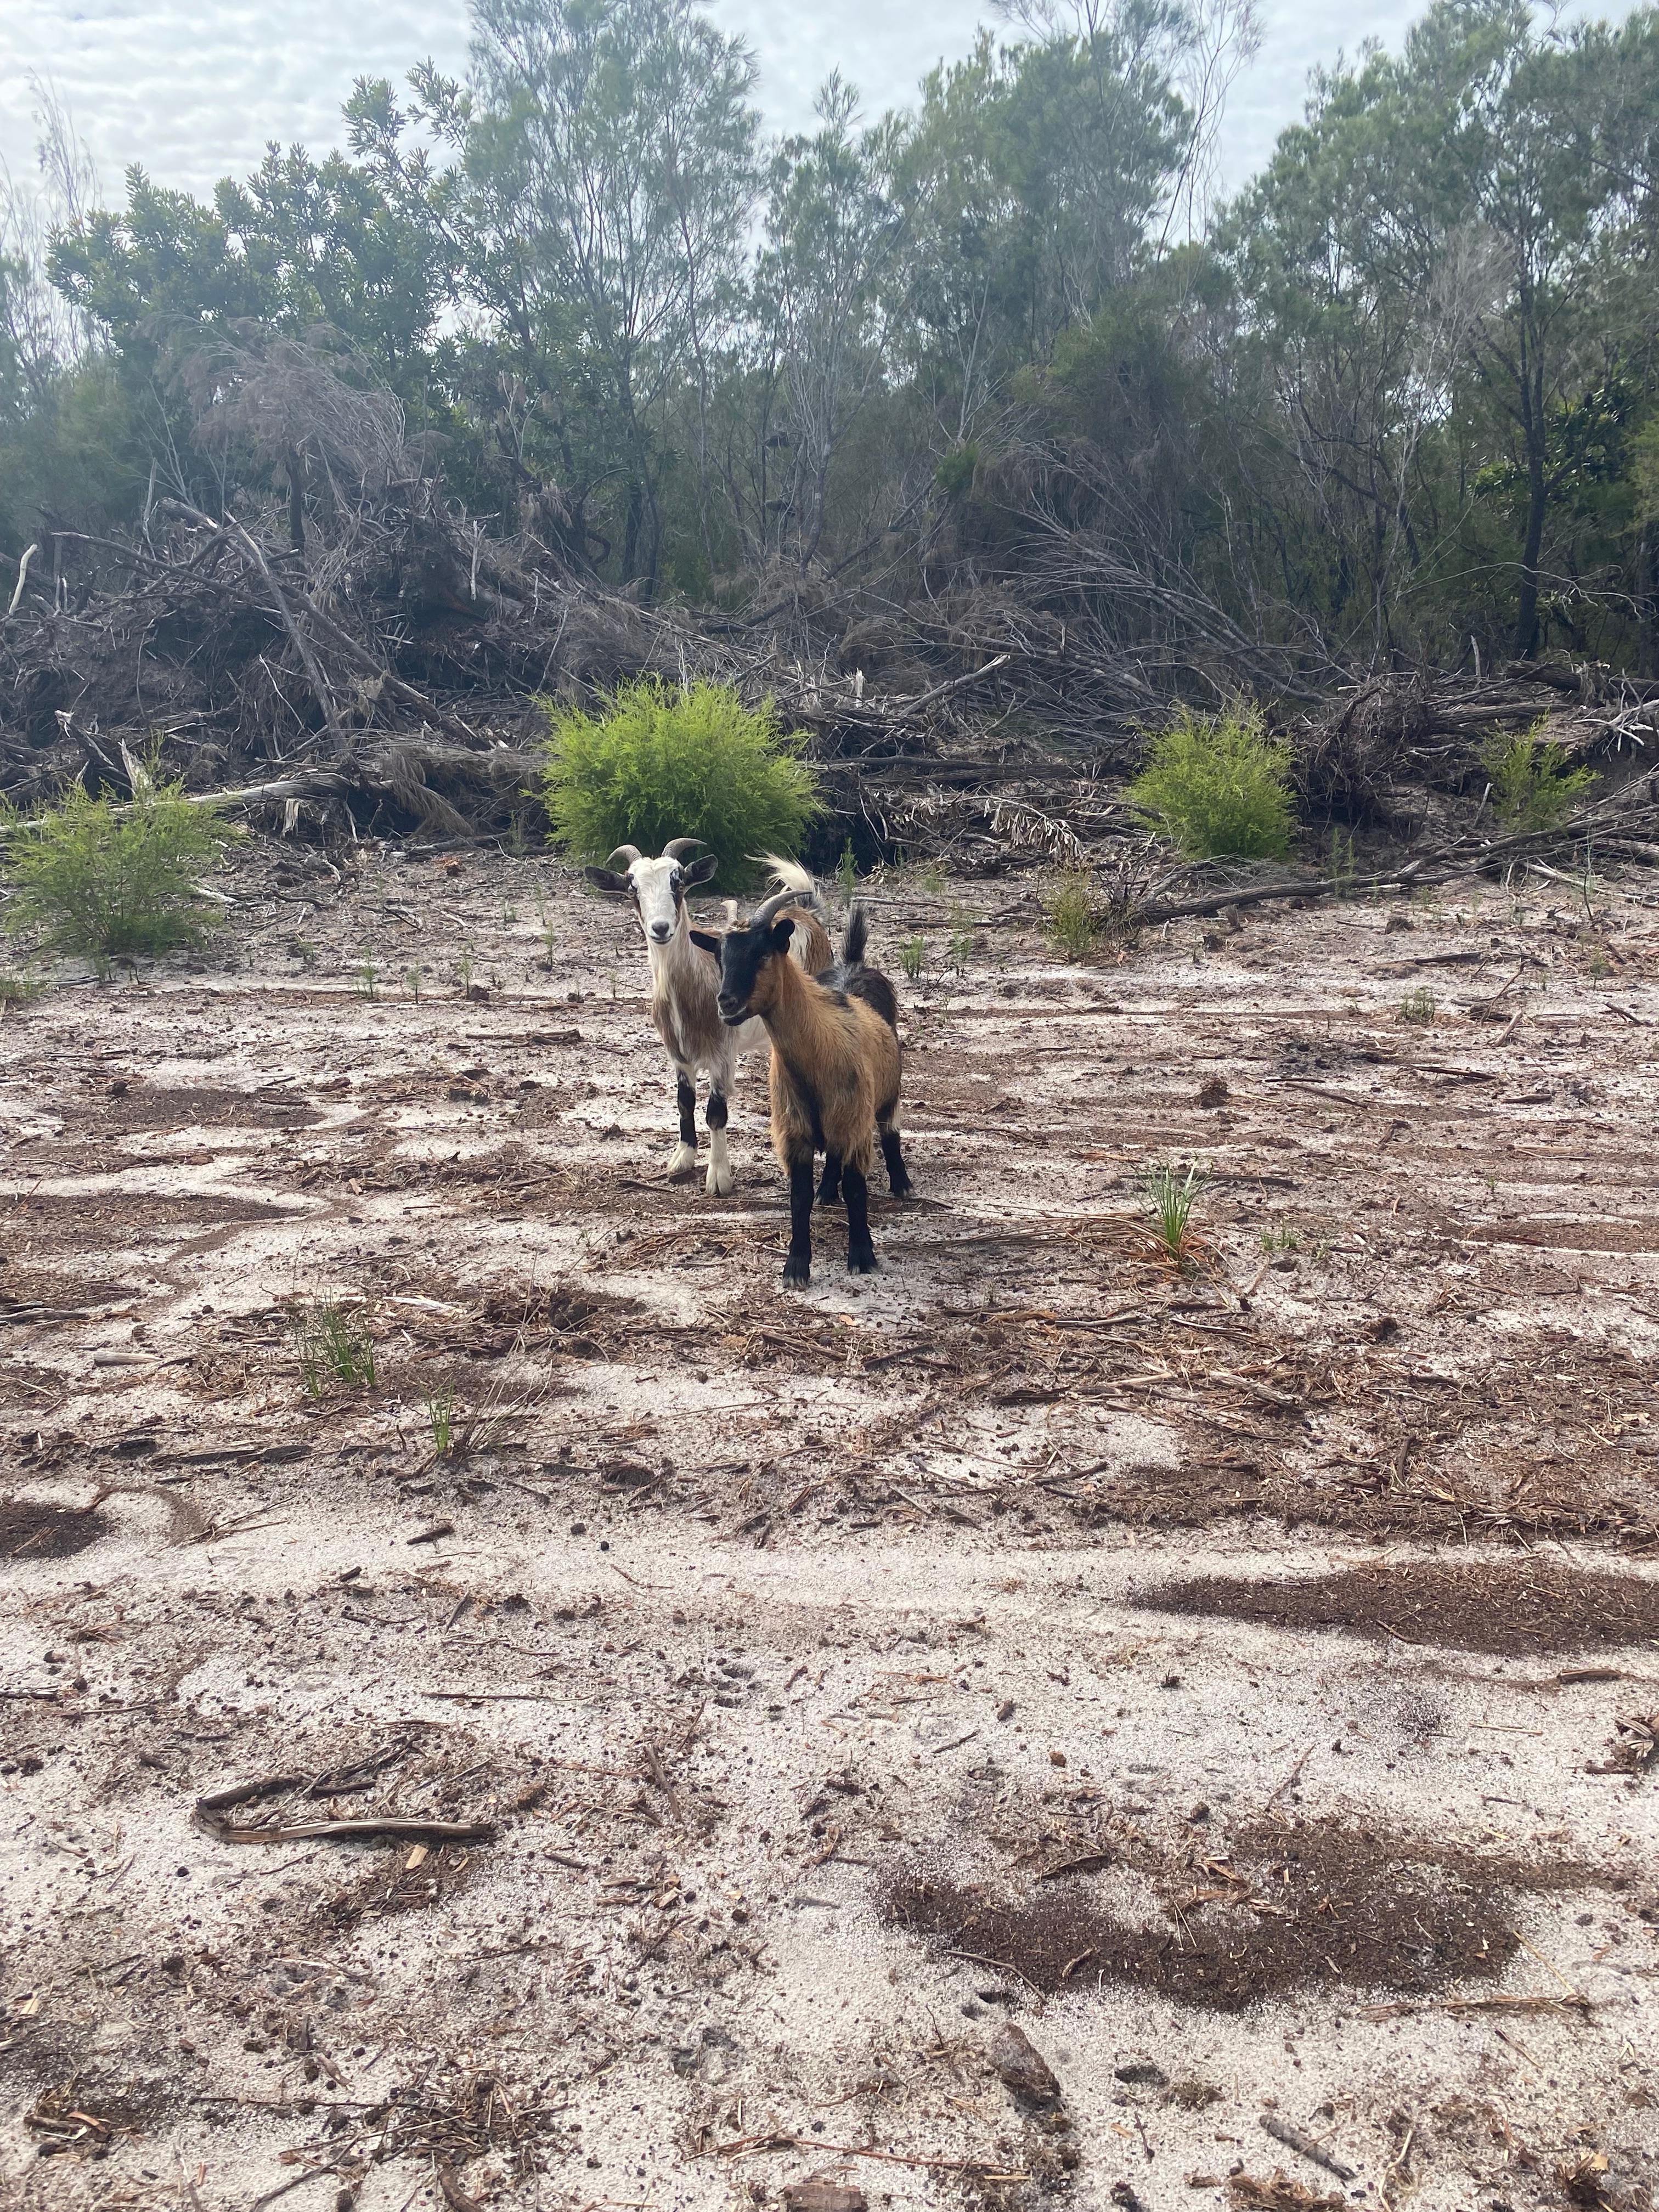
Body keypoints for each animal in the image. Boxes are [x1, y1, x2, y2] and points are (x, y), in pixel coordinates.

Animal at [584, 841, 832, 1195]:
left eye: (678, 883)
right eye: (633, 888)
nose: (661, 928)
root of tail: (807, 914)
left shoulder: (721, 1055)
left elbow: (716, 1113)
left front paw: (718, 1177)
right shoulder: (678, 1056)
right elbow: (684, 1102)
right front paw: (682, 1158)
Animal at [696, 892, 911, 1285]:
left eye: (762, 953)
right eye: (719, 957)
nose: (726, 1003)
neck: (817, 1051)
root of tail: (854, 964)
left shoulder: (854, 1121)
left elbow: (856, 1190)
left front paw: (862, 1257)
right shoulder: (794, 1129)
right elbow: (800, 1196)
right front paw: (796, 1266)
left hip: (887, 1093)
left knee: (890, 1131)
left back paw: (902, 1183)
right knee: (834, 1157)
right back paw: (828, 1190)